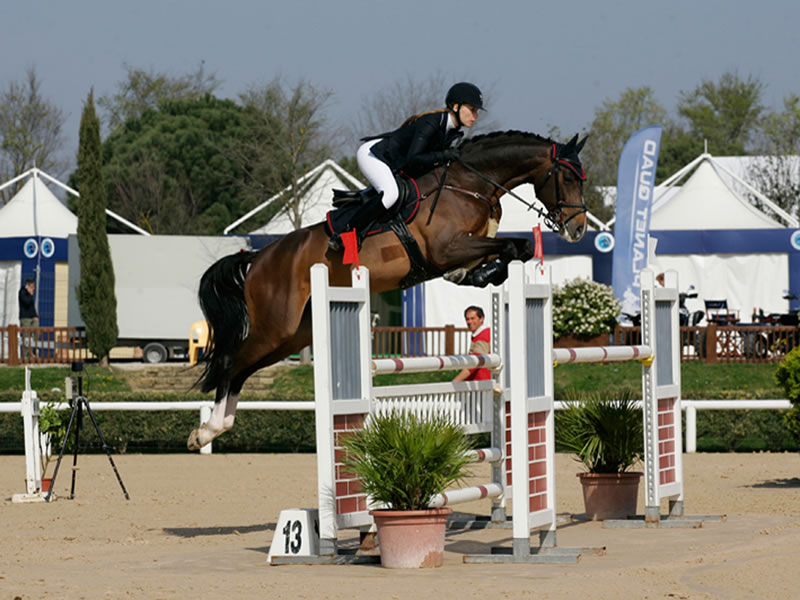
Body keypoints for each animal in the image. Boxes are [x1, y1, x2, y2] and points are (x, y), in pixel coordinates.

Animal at [188, 130, 588, 450]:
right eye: (568, 177)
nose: (579, 229)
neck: (470, 184)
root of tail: (259, 257)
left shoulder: (468, 246)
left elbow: (517, 248)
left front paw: (479, 275)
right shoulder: (446, 248)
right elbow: (511, 246)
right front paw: (477, 272)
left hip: (294, 334)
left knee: (243, 367)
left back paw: (214, 429)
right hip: (276, 325)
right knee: (231, 362)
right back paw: (207, 430)